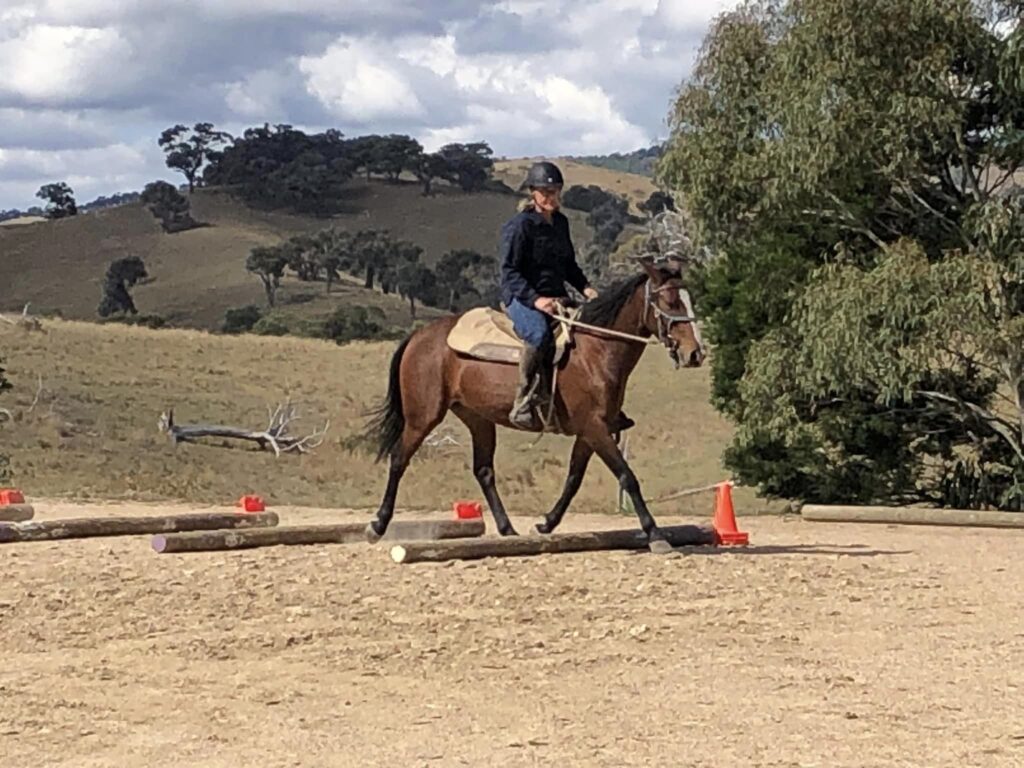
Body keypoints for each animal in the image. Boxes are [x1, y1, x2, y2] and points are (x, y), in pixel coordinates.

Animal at [364, 259, 708, 552]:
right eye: (670, 302)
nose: (695, 353)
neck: (595, 350)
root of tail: (418, 336)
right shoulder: (594, 428)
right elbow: (627, 477)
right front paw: (656, 534)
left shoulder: (590, 432)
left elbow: (573, 479)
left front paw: (545, 524)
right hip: (423, 417)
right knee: (399, 459)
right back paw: (377, 525)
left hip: (477, 418)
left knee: (483, 470)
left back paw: (507, 529)